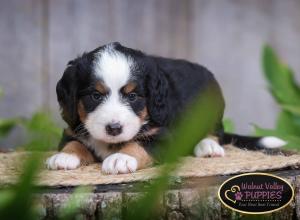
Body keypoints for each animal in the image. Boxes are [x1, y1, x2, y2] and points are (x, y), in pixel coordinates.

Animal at [45, 42, 288, 174]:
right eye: (95, 95)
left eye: (133, 96)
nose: (114, 128)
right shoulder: (72, 128)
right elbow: (74, 143)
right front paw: (64, 157)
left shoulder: (164, 137)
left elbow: (138, 145)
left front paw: (121, 158)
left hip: (212, 106)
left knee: (215, 132)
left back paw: (208, 146)